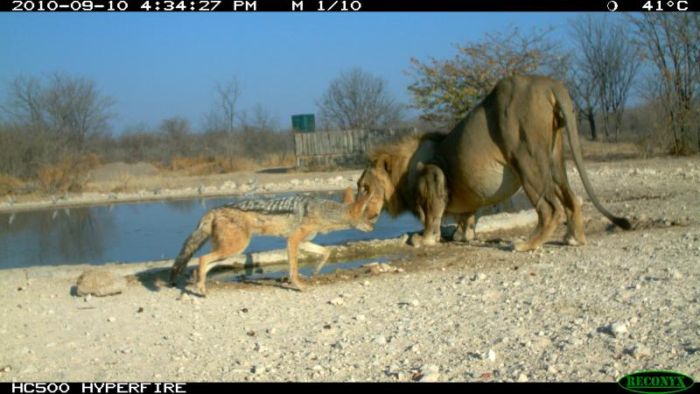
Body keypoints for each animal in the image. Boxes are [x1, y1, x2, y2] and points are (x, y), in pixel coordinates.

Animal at [358, 75, 632, 251]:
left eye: (363, 187)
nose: (354, 209)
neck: (401, 174)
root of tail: (548, 84)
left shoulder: (432, 173)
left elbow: (432, 215)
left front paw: (423, 239)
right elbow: (466, 216)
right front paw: (463, 234)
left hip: (526, 159)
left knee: (550, 208)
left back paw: (526, 245)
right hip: (553, 161)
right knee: (572, 199)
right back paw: (573, 239)